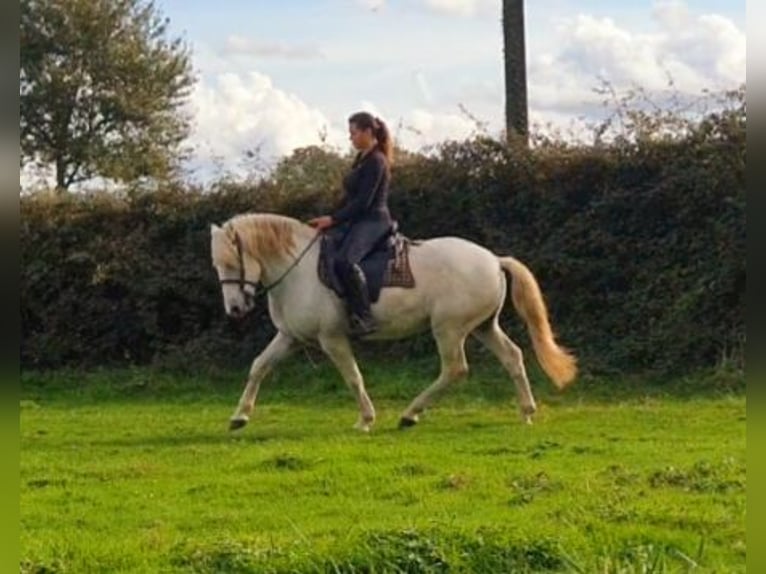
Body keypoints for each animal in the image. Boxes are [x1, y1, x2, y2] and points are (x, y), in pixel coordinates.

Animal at [210, 212, 576, 432]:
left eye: (231, 263)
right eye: (218, 265)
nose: (234, 309)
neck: (298, 270)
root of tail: (494, 259)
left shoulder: (332, 339)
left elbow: (353, 377)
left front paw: (365, 420)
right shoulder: (290, 337)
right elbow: (259, 366)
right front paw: (239, 416)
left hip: (449, 329)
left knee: (455, 369)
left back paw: (410, 413)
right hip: (483, 327)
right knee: (512, 357)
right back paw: (526, 411)